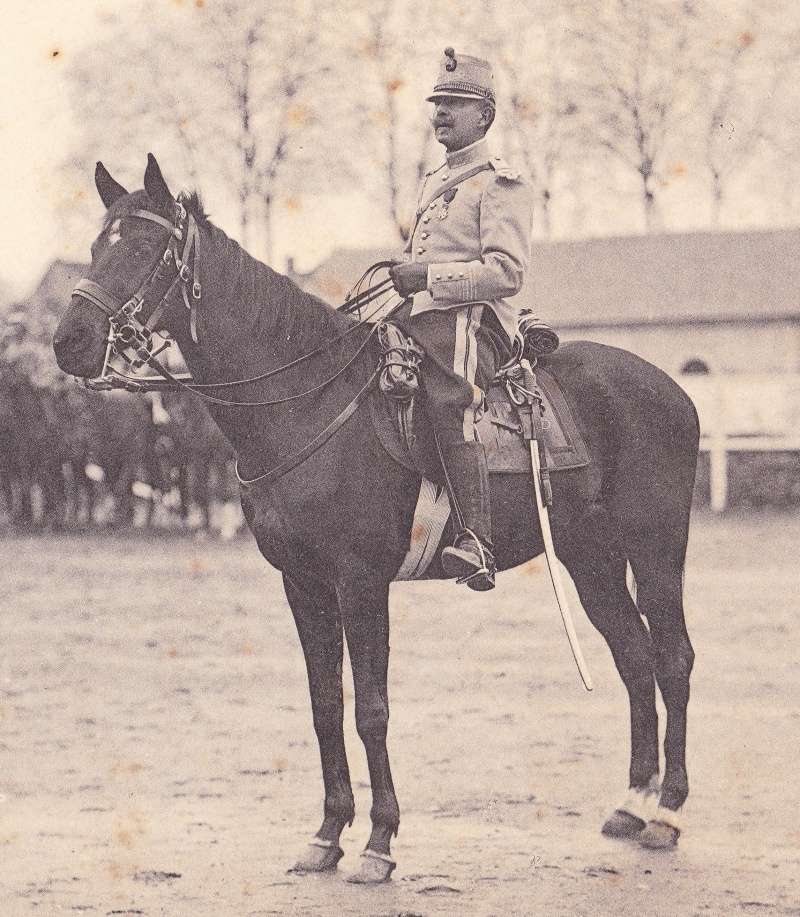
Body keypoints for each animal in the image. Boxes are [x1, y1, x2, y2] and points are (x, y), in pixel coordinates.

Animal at [51, 156, 700, 880]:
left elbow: (371, 710)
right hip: (590, 558)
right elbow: (325, 705)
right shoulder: (303, 583)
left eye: (142, 247)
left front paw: (379, 839)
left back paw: (667, 812)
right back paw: (633, 803)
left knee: (672, 657)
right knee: (634, 656)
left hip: (655, 547)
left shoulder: (361, 583)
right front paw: (328, 832)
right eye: (95, 245)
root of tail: (670, 385)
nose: (69, 341)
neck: (304, 400)